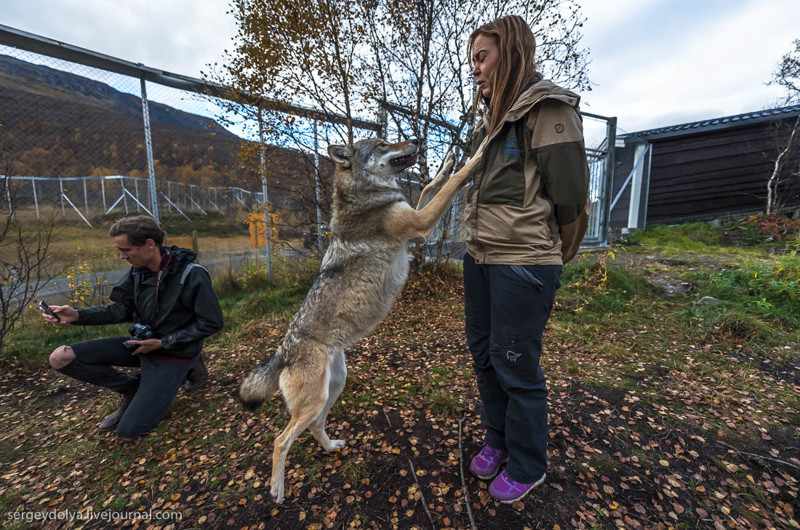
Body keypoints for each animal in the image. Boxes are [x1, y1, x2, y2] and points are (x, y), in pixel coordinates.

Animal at [241, 135, 484, 500]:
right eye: (383, 143)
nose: (417, 139)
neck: (366, 194)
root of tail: (283, 350)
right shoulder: (420, 223)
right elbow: (456, 182)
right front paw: (481, 151)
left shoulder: (418, 225)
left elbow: (432, 184)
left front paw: (449, 159)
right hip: (315, 401)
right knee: (280, 440)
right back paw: (277, 489)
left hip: (334, 387)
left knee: (315, 426)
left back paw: (331, 447)